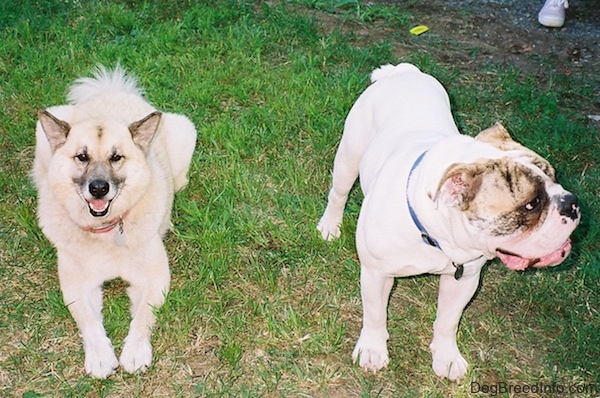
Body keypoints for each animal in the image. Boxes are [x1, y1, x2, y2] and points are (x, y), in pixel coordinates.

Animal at [33, 66, 197, 380]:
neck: (106, 232)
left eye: (116, 157)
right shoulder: (77, 286)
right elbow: (88, 320)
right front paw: (99, 356)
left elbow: (143, 316)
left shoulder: (154, 278)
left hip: (186, 132)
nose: (98, 188)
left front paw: (135, 351)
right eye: (82, 156)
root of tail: (111, 92)